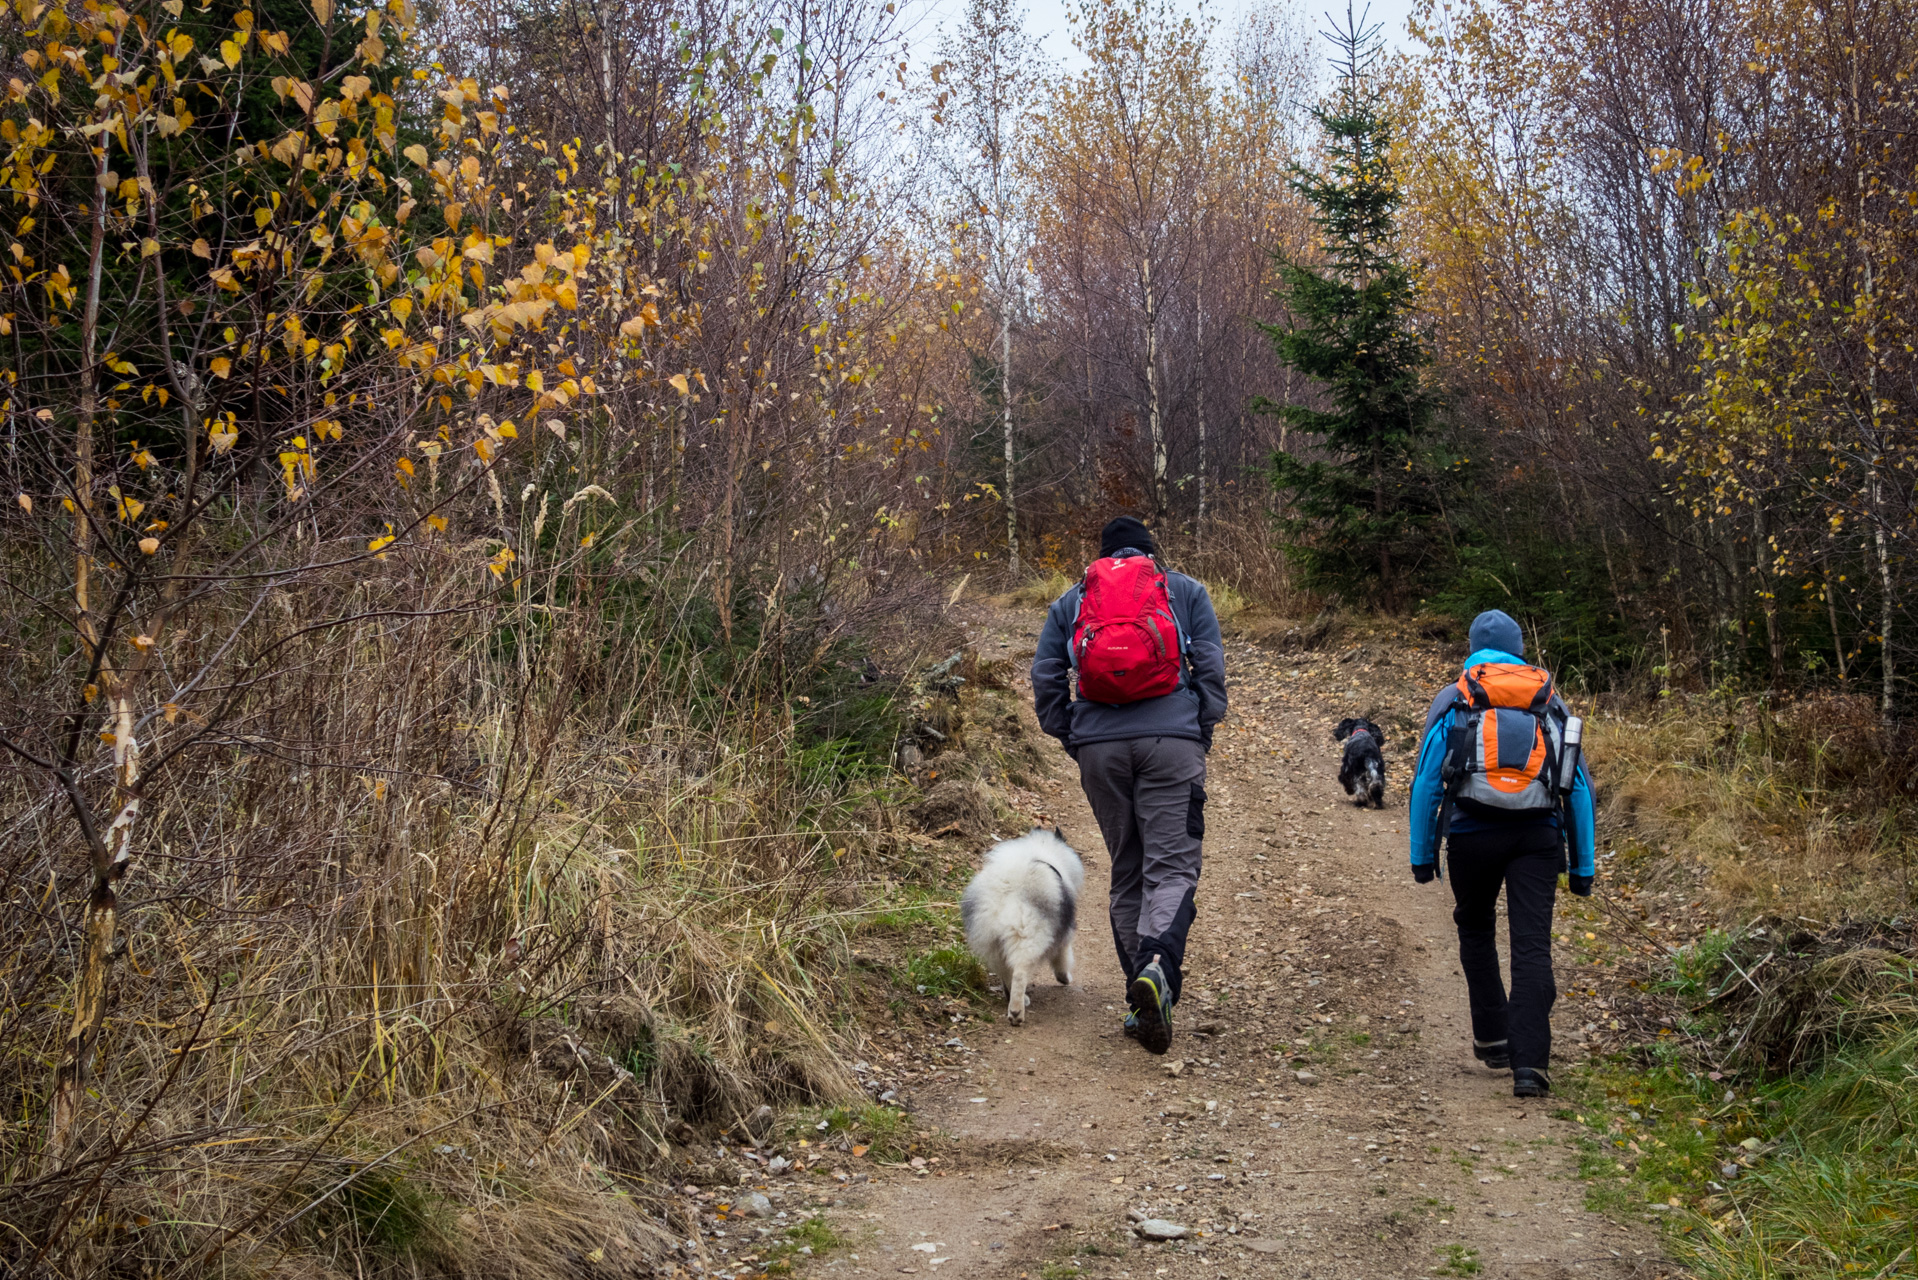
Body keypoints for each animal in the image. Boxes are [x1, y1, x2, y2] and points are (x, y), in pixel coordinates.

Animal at [955, 832, 1081, 1028]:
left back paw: (1015, 999)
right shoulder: (1064, 936)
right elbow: (1063, 959)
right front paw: (1064, 978)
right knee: (1020, 974)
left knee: (1007, 973)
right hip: (1027, 939)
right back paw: (1016, 1012)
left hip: (994, 945)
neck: (1043, 849)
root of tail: (1003, 894)